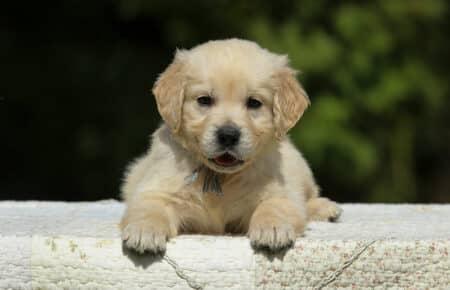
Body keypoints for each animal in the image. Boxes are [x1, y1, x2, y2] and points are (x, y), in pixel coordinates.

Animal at [119, 39, 342, 254]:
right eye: (204, 100)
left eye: (254, 102)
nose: (228, 135)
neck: (221, 177)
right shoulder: (156, 189)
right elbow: (149, 207)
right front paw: (144, 231)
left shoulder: (281, 192)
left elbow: (275, 205)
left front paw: (273, 229)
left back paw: (325, 208)